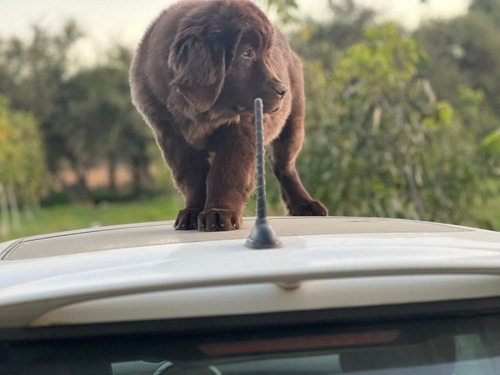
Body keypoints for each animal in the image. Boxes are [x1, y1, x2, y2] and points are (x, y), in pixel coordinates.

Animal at [130, 0, 328, 232]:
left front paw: (218, 213)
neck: (203, 114)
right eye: (247, 53)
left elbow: (226, 171)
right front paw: (192, 212)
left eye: (267, 53)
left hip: (292, 124)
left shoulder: (243, 131)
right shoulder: (171, 135)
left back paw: (304, 204)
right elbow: (192, 176)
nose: (282, 90)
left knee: (284, 166)